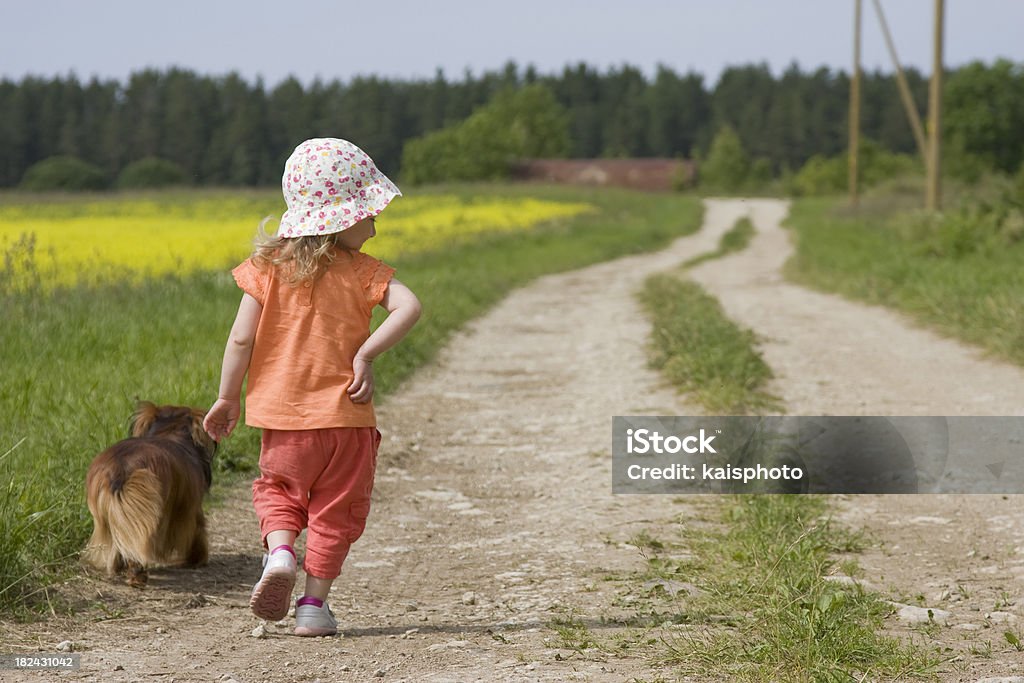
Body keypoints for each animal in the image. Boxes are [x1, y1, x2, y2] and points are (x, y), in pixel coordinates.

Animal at [84, 401, 218, 589]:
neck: (169, 432)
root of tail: (120, 469)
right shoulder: (189, 509)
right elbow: (197, 531)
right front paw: (197, 559)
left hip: (112, 515)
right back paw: (137, 576)